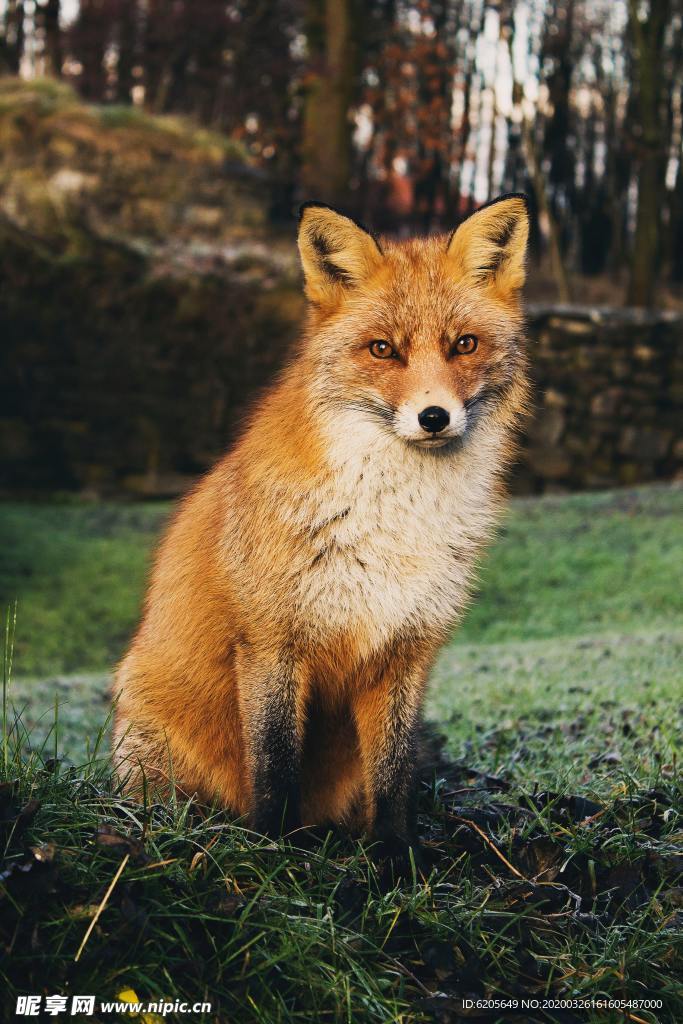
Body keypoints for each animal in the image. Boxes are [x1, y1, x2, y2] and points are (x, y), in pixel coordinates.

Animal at [112, 193, 532, 864]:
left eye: (464, 344)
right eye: (383, 349)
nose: (434, 417)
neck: (392, 523)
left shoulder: (405, 651)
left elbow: (393, 776)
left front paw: (396, 859)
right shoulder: (272, 642)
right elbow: (275, 765)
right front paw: (273, 852)